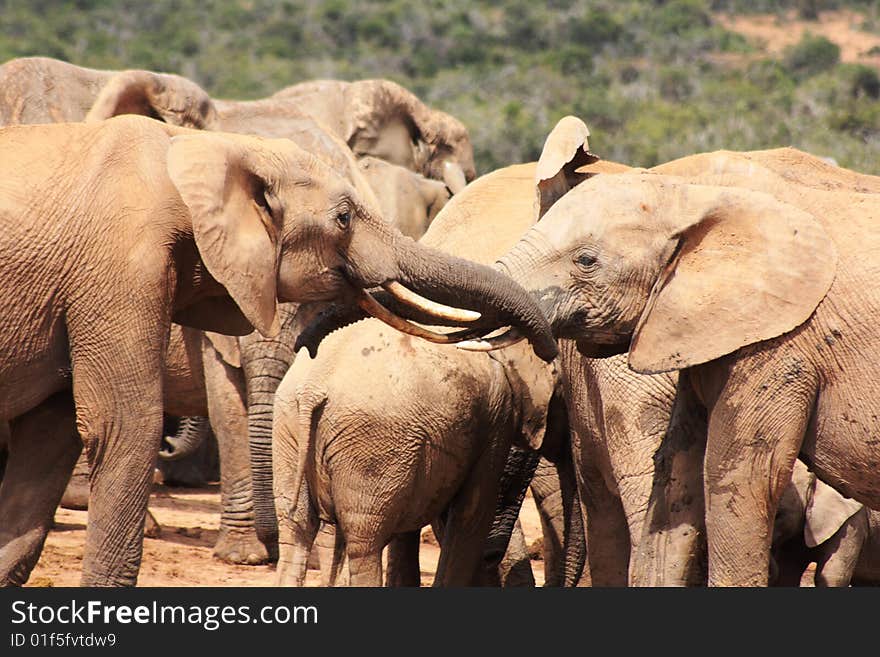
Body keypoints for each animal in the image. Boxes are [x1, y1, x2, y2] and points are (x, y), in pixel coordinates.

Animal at [0, 115, 552, 588]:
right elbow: (122, 425)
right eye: (344, 218)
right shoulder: (120, 270)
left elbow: (49, 439)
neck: (210, 147)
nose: (545, 346)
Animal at [274, 118, 612, 584]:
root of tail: (311, 394)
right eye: (563, 400)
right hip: (370, 449)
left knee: (295, 533)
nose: (304, 342)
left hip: (293, 436)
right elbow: (470, 521)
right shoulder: (495, 424)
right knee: (365, 542)